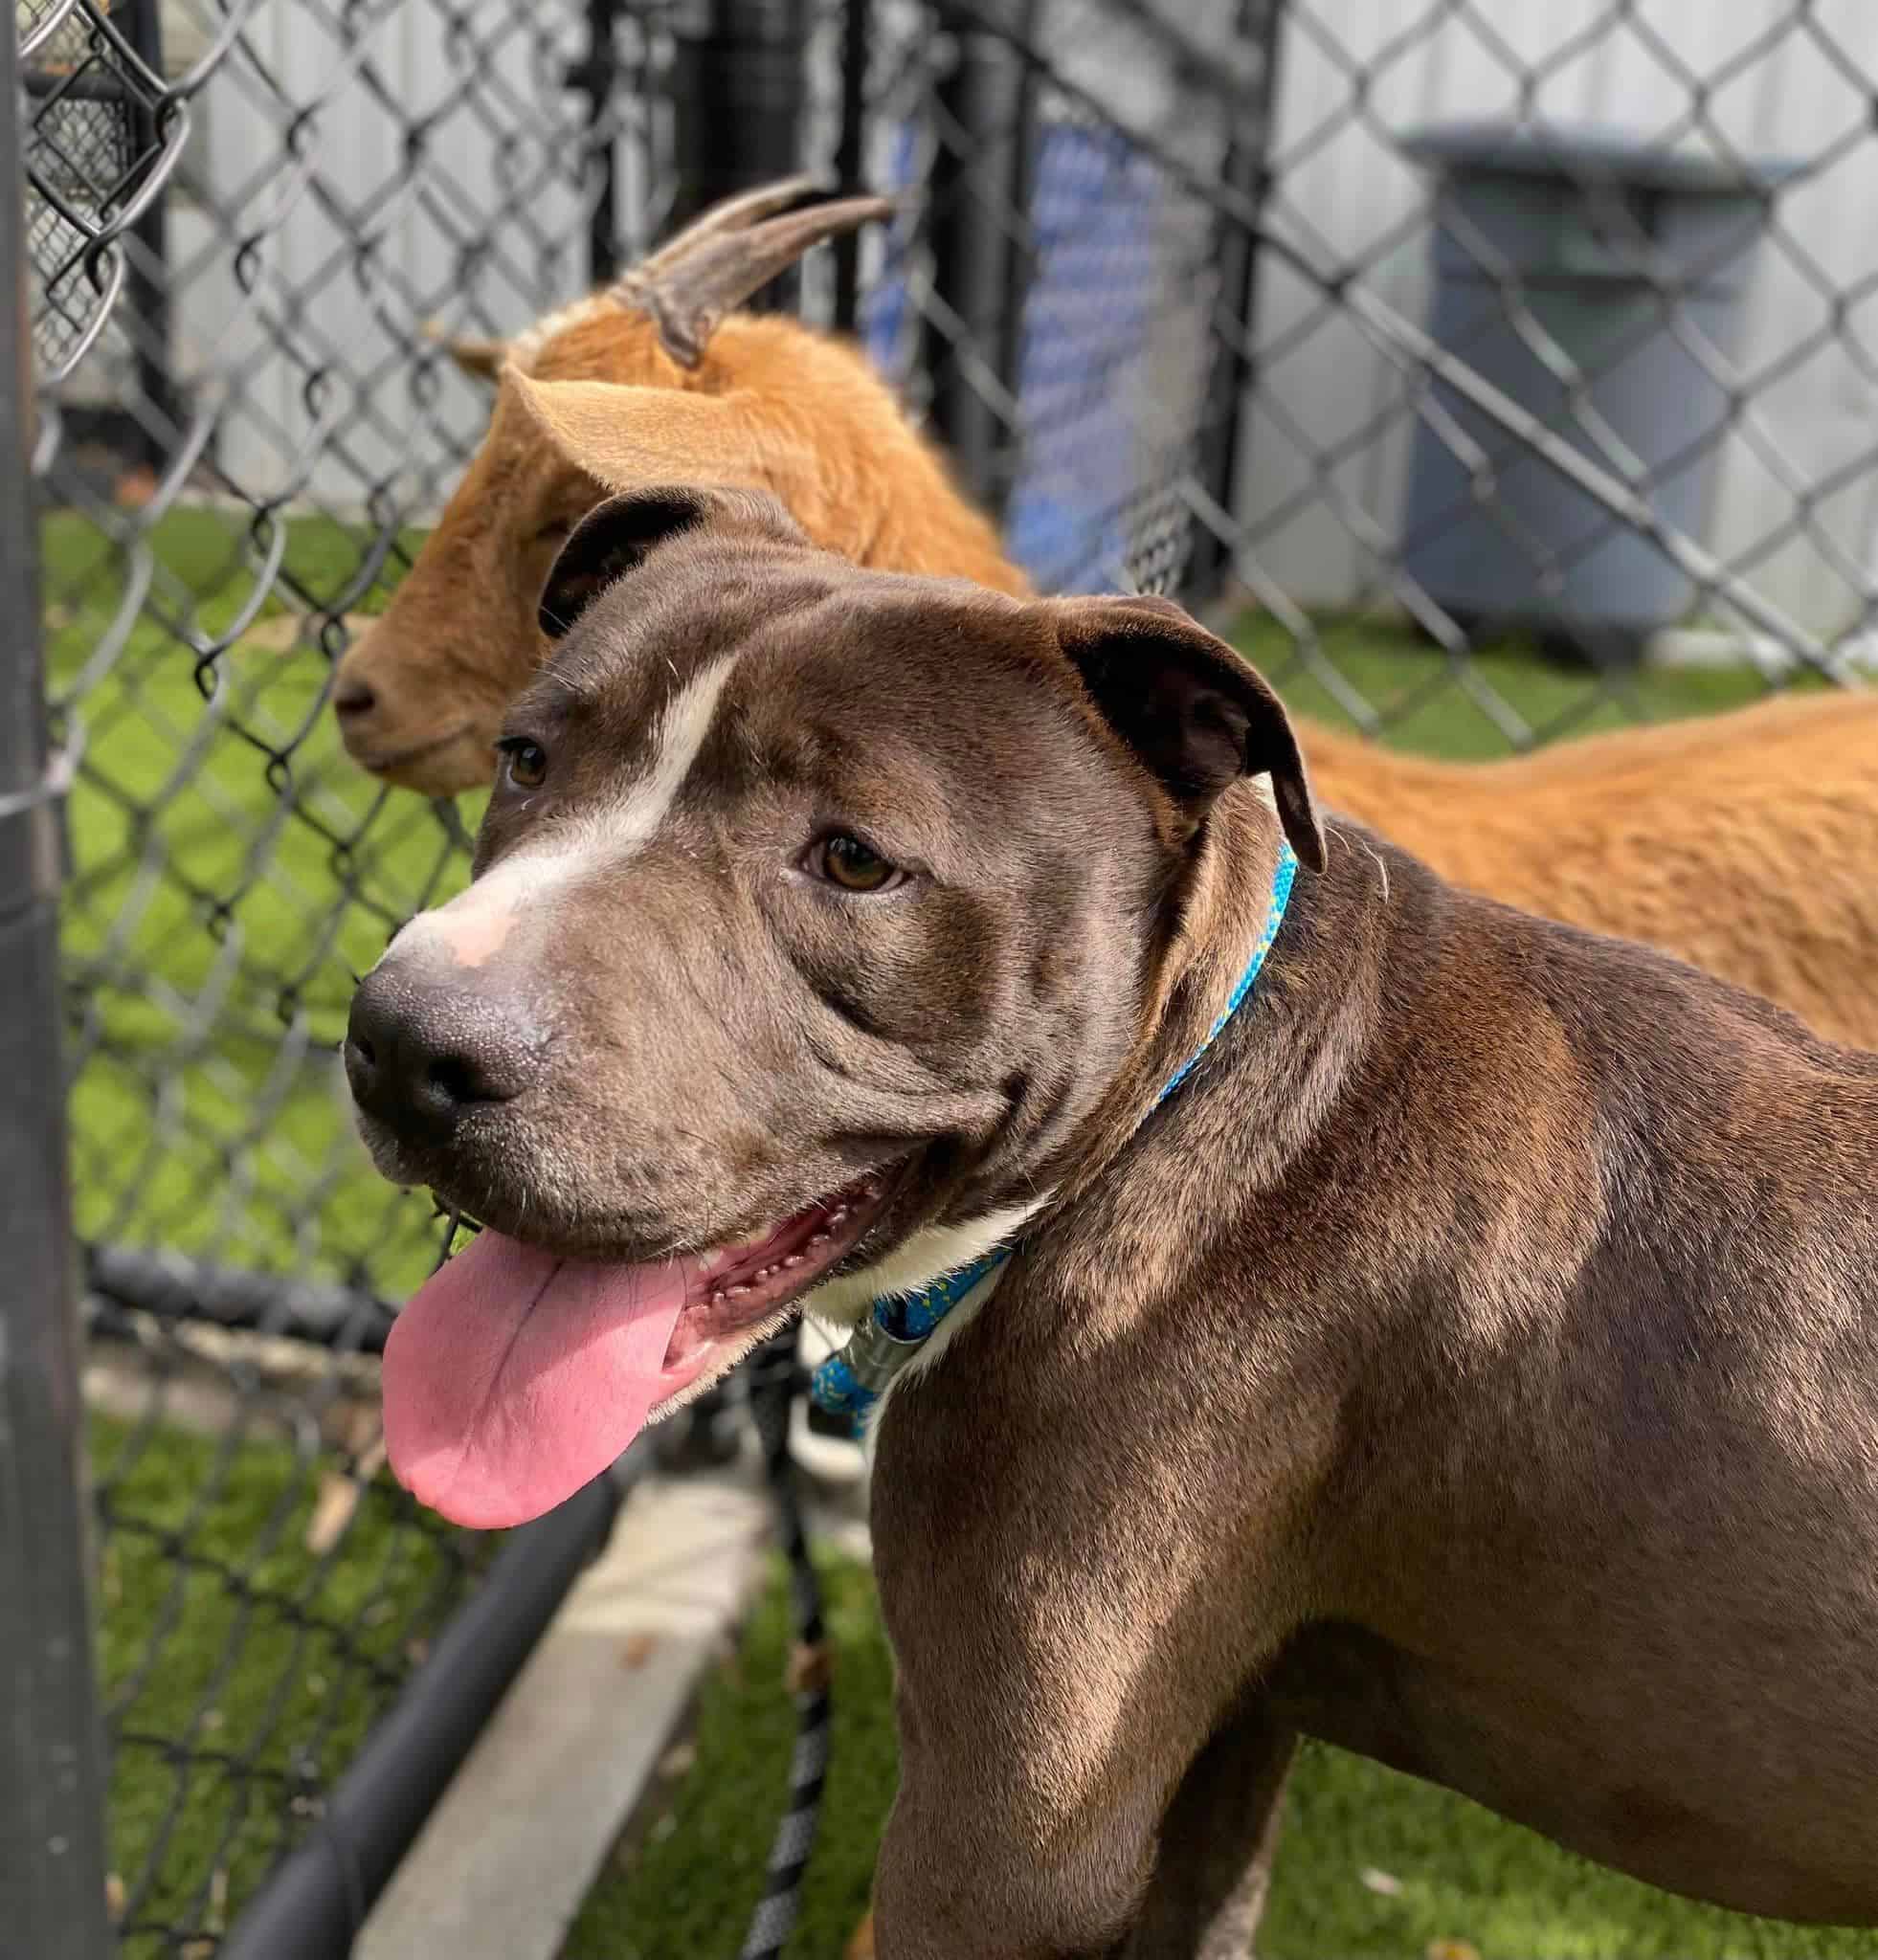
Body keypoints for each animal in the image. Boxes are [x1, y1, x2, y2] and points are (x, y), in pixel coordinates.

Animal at [348, 481, 1878, 1951]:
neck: (1171, 1104)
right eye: (528, 760)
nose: (400, 1044)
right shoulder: (1227, 1732)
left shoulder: (997, 1852)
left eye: (854, 862)